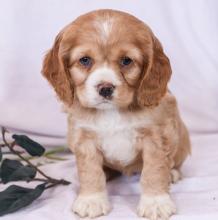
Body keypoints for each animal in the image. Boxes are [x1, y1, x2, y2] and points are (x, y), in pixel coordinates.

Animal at [41, 9, 191, 220]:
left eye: (126, 61)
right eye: (85, 60)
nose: (105, 88)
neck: (111, 112)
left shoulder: (156, 137)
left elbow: (154, 170)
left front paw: (155, 202)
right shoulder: (84, 139)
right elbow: (90, 171)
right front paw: (92, 200)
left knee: (173, 162)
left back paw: (172, 174)